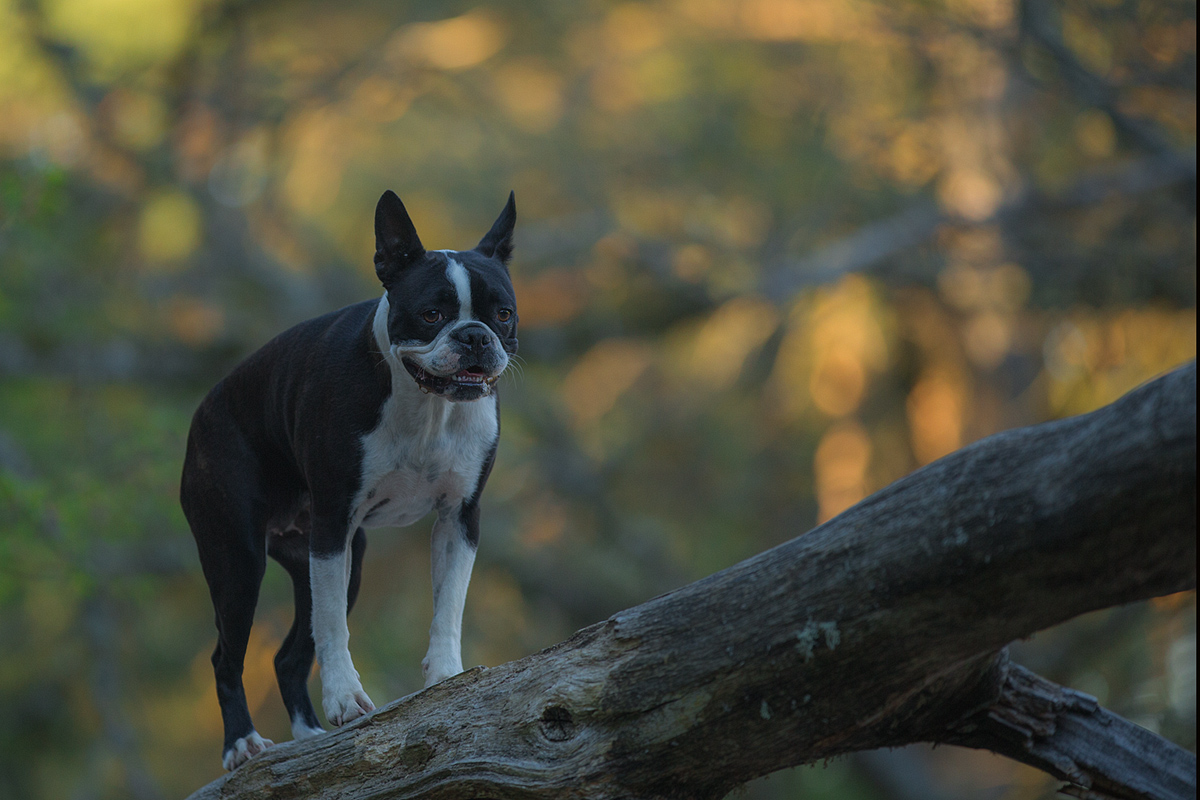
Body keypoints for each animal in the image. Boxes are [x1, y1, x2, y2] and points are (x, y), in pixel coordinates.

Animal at [181, 188, 516, 767]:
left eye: (503, 314)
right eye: (430, 314)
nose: (475, 336)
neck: (427, 406)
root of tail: (202, 413)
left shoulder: (459, 519)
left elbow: (448, 605)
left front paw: (447, 677)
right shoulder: (333, 523)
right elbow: (334, 624)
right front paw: (344, 699)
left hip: (337, 555)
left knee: (288, 658)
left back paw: (310, 736)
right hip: (239, 560)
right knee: (226, 656)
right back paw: (243, 743)